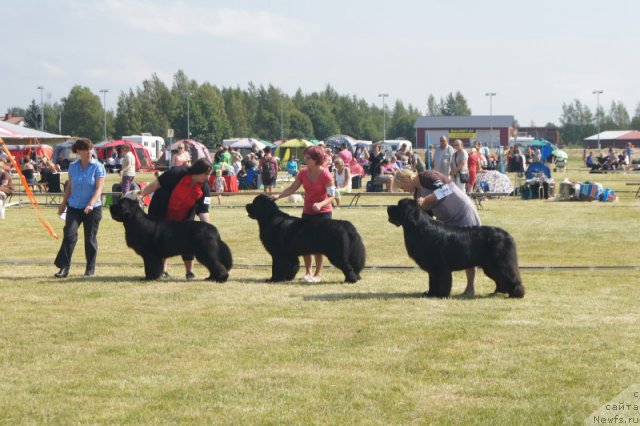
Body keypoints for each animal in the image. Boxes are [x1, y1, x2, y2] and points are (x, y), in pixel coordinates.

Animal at [388, 198, 524, 298]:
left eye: (399, 206)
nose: (388, 207)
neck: (419, 228)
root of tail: (508, 235)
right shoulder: (433, 268)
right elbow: (432, 282)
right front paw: (431, 295)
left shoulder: (441, 266)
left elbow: (443, 282)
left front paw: (442, 296)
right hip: (490, 266)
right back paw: (497, 293)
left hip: (499, 263)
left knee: (510, 276)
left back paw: (516, 294)